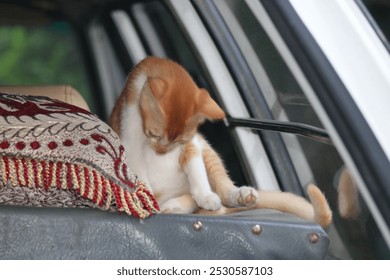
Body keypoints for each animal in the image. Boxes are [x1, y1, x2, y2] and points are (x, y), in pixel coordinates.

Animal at [109, 56, 332, 228]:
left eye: (180, 140)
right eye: (153, 135)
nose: (162, 152)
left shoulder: (191, 145)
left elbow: (197, 172)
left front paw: (205, 196)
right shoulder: (130, 142)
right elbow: (139, 175)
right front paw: (144, 200)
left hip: (208, 152)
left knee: (222, 193)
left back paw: (234, 196)